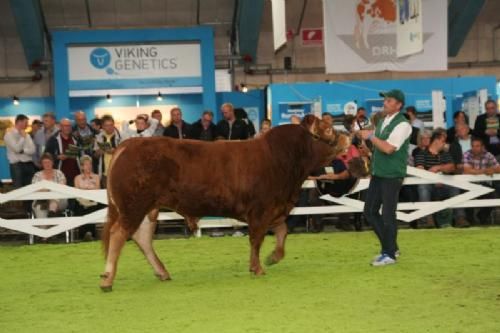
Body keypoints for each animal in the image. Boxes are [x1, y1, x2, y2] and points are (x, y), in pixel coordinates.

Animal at [100, 119, 352, 290]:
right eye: (328, 129)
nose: (348, 136)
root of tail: (130, 143)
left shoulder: (275, 209)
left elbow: (282, 232)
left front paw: (272, 257)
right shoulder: (260, 210)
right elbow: (256, 239)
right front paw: (257, 268)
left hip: (148, 208)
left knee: (141, 237)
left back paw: (162, 272)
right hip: (134, 205)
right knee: (119, 234)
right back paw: (107, 279)